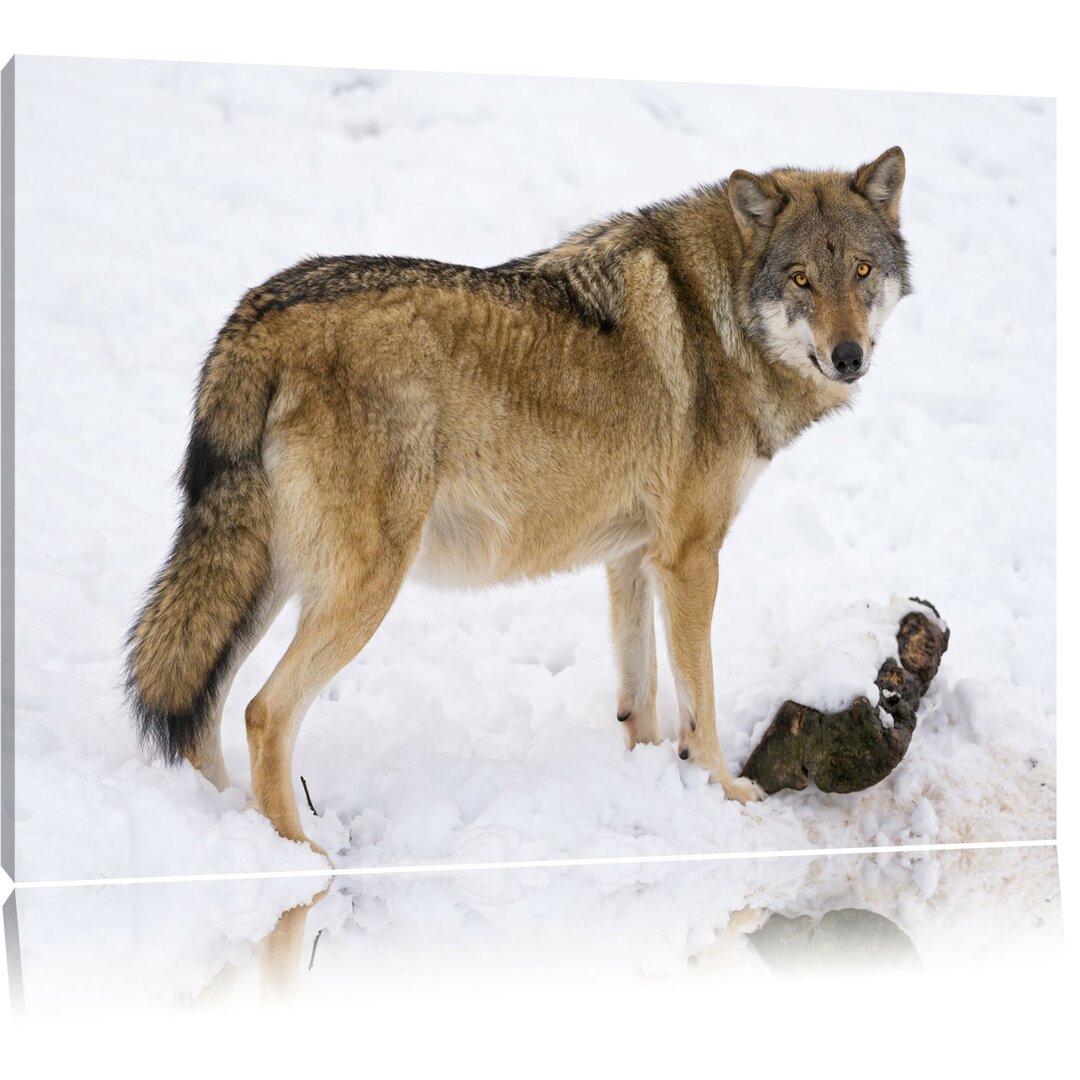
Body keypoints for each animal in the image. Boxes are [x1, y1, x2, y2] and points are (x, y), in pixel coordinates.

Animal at [124, 145, 911, 851]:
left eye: (861, 271)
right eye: (802, 280)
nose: (848, 357)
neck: (719, 317)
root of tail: (259, 312)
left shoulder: (633, 557)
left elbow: (642, 697)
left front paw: (652, 786)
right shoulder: (690, 558)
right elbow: (701, 701)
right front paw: (726, 794)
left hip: (269, 580)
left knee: (205, 711)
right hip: (361, 587)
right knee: (263, 712)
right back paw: (304, 859)